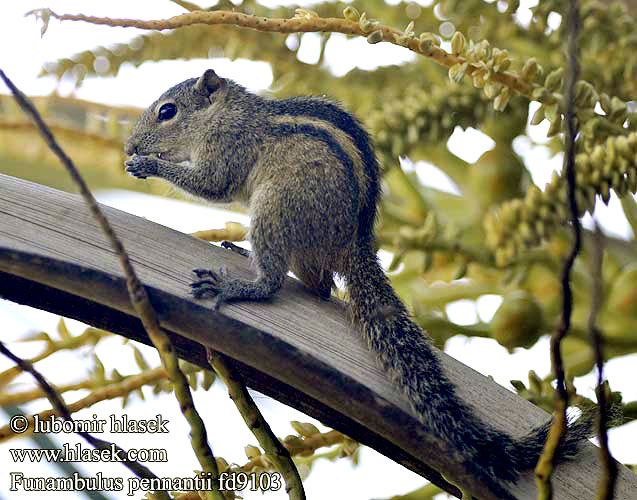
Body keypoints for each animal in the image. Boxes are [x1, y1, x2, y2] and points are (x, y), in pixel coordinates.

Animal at [124, 68, 592, 498]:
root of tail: (355, 243)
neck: (228, 114)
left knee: (279, 282)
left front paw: (148, 164)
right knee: (319, 287)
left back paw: (242, 286)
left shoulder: (227, 150)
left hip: (275, 208)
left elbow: (211, 186)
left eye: (167, 112)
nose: (129, 146)